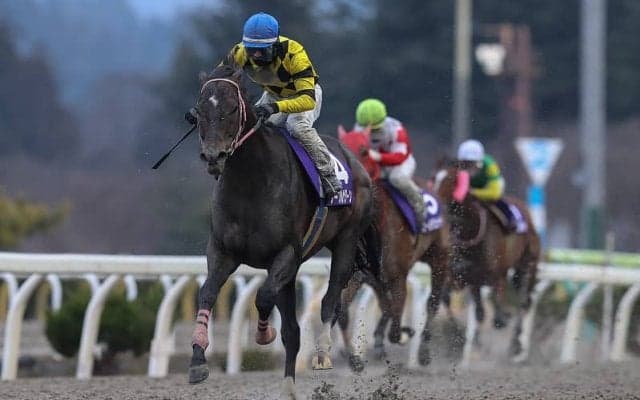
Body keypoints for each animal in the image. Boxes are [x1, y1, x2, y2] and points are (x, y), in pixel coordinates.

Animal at [187, 65, 379, 397]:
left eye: (232, 108)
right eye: (199, 111)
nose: (214, 156)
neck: (250, 181)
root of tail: (356, 161)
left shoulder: (287, 253)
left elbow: (263, 297)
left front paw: (264, 335)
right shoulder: (223, 251)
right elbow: (207, 293)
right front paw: (198, 360)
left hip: (346, 240)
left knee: (331, 300)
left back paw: (323, 354)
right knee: (293, 330)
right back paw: (289, 387)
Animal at [337, 126, 451, 370]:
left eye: (363, 149)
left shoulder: (398, 275)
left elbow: (396, 325)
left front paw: (406, 334)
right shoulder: (359, 275)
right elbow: (345, 311)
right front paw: (354, 359)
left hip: (440, 258)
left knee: (432, 302)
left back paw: (424, 351)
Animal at [431, 158, 540, 360]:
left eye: (452, 180)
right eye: (433, 177)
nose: (436, 201)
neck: (470, 231)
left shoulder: (496, 275)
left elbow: (497, 314)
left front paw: (502, 319)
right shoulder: (461, 275)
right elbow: (447, 298)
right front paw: (460, 339)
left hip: (526, 265)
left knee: (522, 302)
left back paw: (515, 344)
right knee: (482, 309)